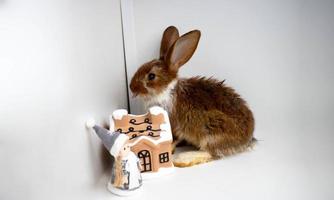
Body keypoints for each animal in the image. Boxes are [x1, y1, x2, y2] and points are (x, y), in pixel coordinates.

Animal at [129, 26, 254, 167]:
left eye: (151, 76)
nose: (131, 87)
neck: (166, 91)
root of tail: (246, 140)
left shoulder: (175, 125)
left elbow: (174, 139)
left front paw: (169, 150)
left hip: (211, 131)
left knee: (211, 153)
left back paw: (182, 159)